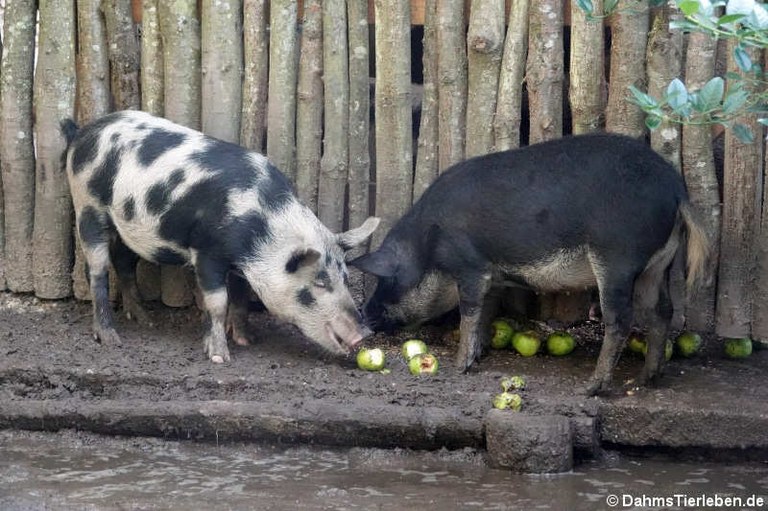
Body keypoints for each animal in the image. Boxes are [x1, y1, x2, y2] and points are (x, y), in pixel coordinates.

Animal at [61, 111, 380, 364]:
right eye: (319, 283)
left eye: (345, 278)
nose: (364, 333)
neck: (261, 224)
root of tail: (82, 132)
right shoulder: (207, 252)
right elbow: (218, 301)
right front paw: (219, 357)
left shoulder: (241, 265)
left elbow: (240, 297)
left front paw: (247, 340)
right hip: (87, 204)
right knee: (97, 270)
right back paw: (110, 338)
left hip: (128, 226)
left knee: (124, 263)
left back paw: (146, 321)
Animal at [352, 133, 712, 396]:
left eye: (386, 283)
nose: (365, 315)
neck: (429, 247)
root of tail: (676, 190)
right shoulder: (494, 274)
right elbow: (488, 310)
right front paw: (481, 352)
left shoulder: (470, 266)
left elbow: (470, 311)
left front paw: (460, 366)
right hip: (658, 264)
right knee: (662, 310)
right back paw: (646, 379)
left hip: (618, 258)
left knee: (620, 320)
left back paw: (591, 388)